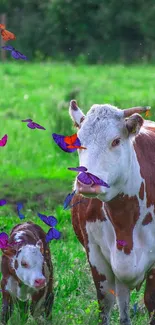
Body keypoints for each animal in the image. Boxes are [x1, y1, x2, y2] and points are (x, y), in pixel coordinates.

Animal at [68, 99, 155, 324]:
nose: (86, 182)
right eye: (79, 142)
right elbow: (105, 303)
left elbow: (151, 302)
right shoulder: (95, 253)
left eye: (116, 141)